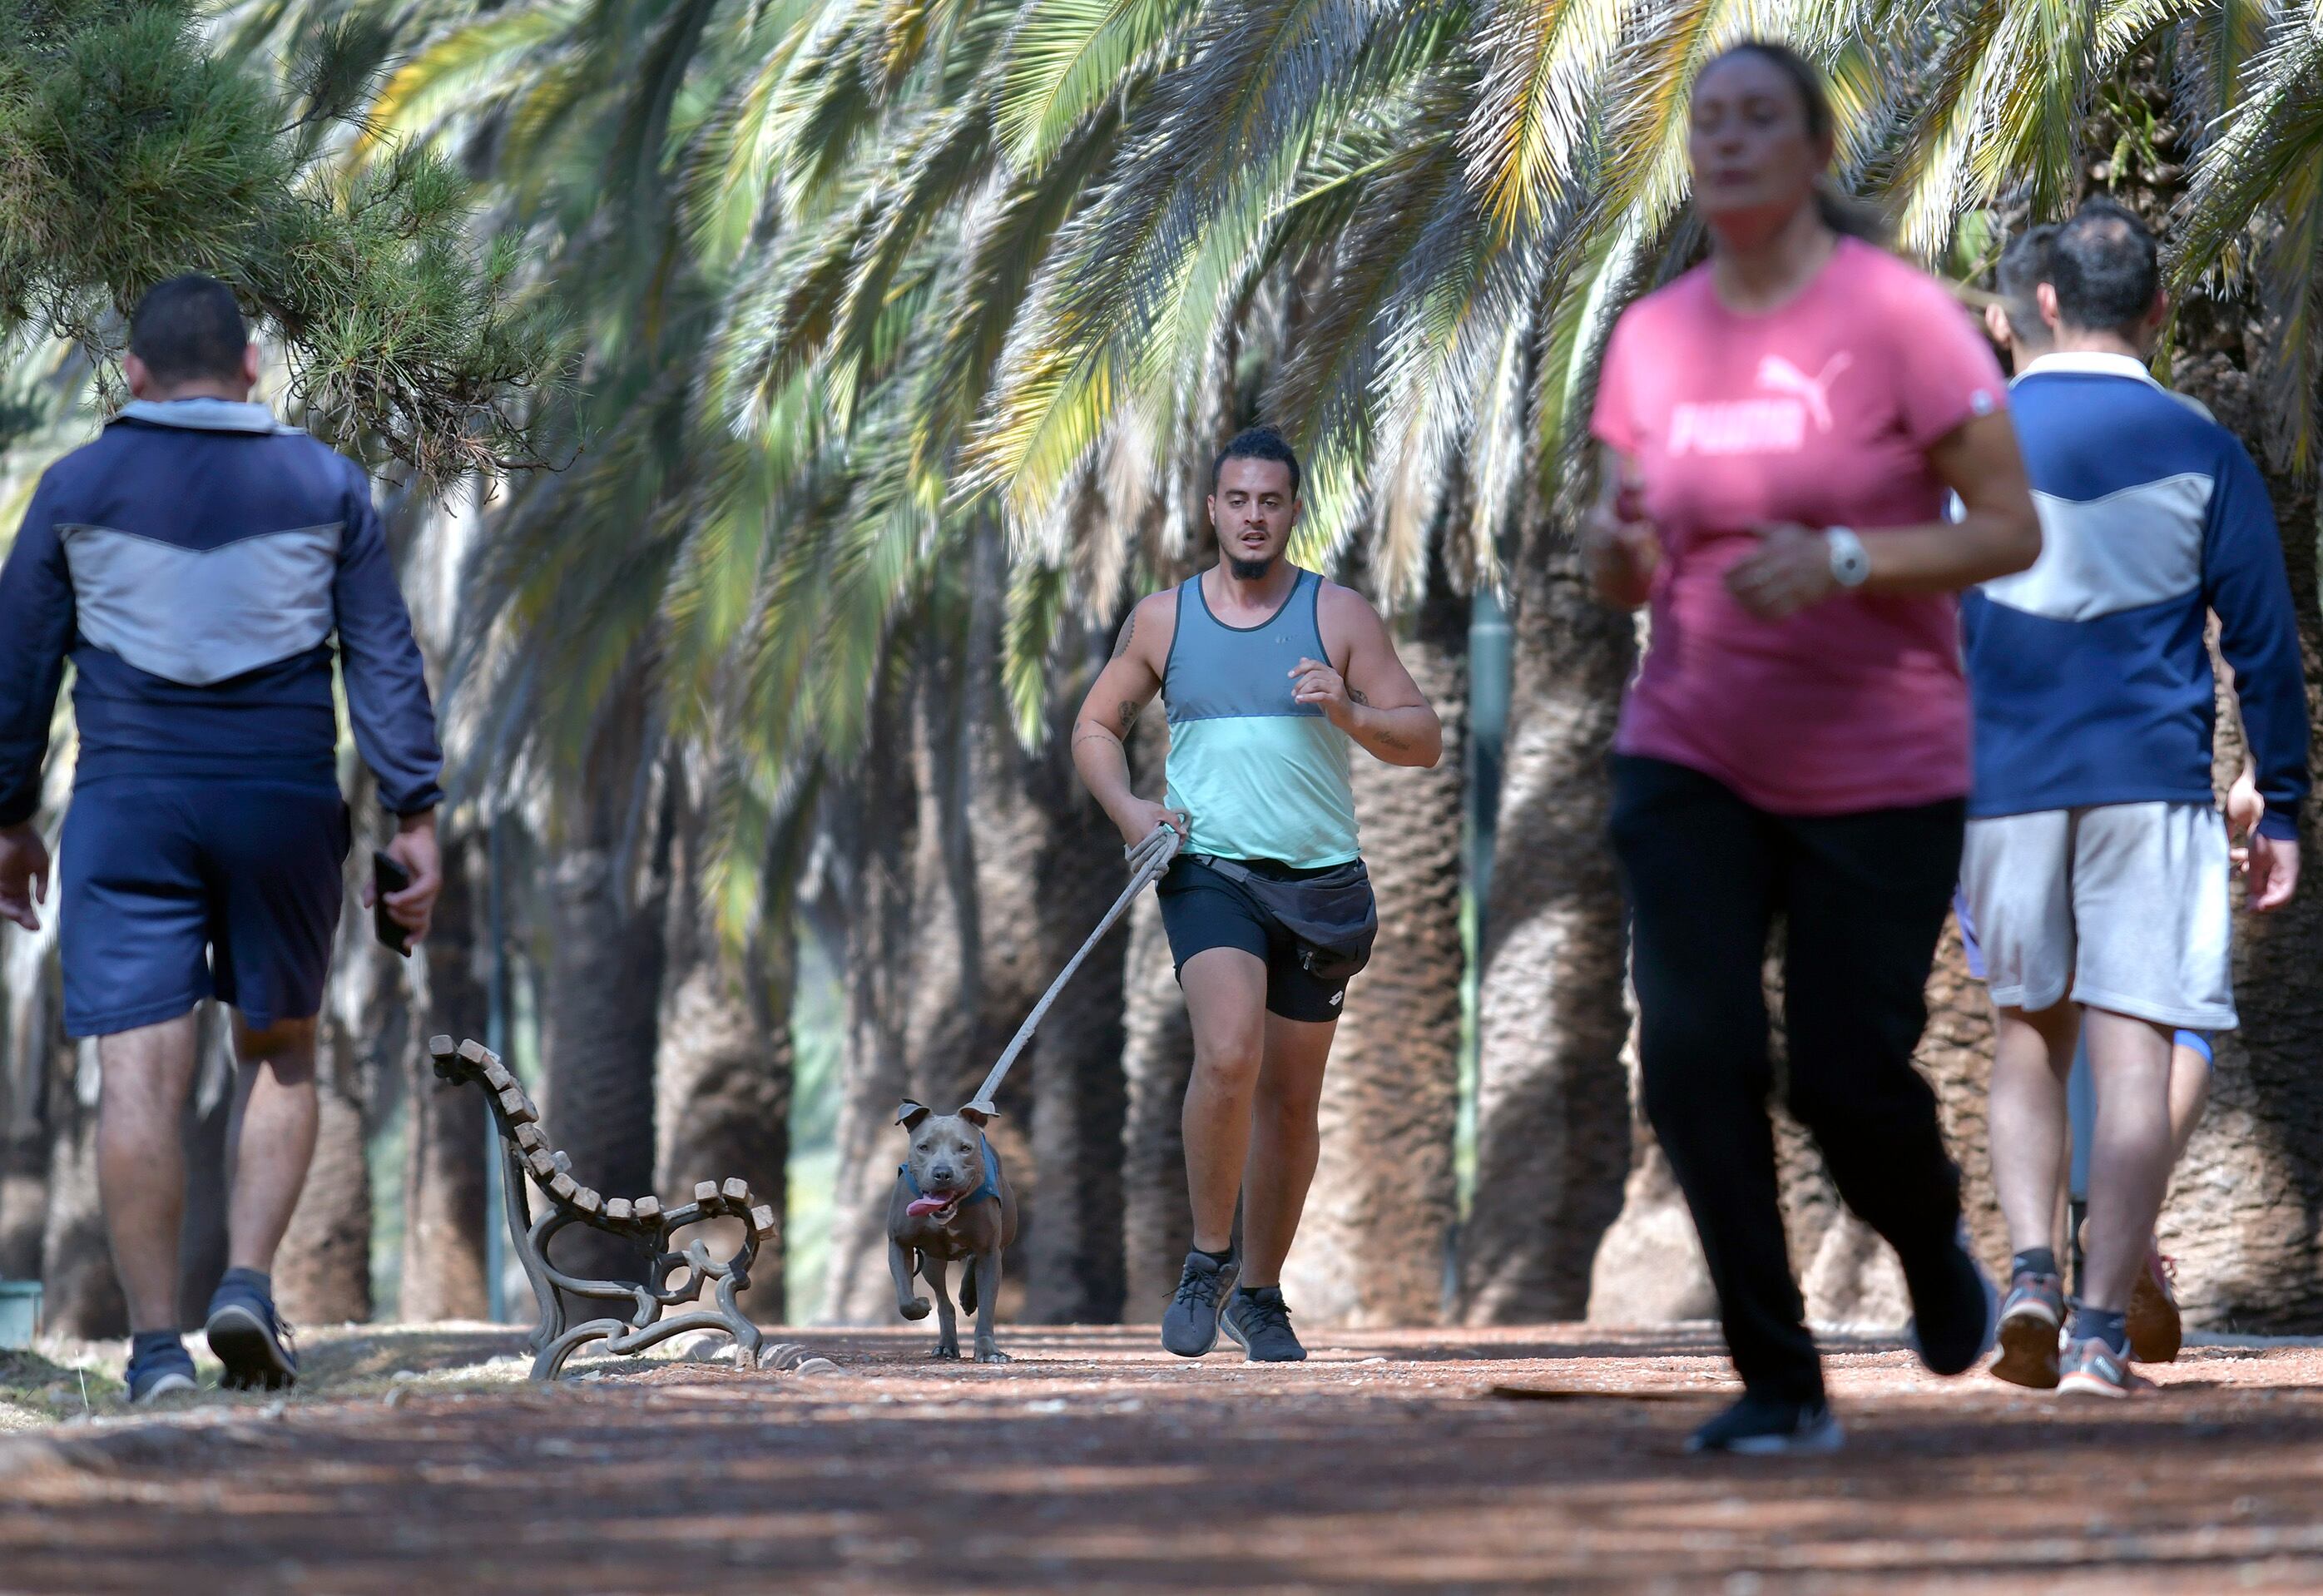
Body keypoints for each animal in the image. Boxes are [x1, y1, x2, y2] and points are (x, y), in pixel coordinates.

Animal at [887, 1105, 1017, 1366]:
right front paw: (921, 1304)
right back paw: (946, 1345)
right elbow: (906, 1301)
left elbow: (987, 1307)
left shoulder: (989, 1252)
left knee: (976, 1263)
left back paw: (969, 1296)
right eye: (923, 1147)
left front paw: (989, 1350)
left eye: (965, 1148)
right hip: (932, 1262)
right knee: (944, 1302)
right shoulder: (899, 1243)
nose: (943, 1173)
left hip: (1001, 1238)